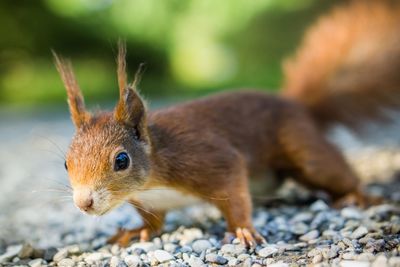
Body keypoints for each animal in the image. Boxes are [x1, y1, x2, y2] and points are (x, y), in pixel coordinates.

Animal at [54, 0, 400, 248]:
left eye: (122, 160)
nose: (84, 203)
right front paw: (136, 231)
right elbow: (155, 223)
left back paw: (358, 196)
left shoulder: (210, 158)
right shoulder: (149, 202)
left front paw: (243, 230)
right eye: (66, 164)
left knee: (331, 169)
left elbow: (234, 195)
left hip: (303, 148)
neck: (153, 181)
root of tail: (296, 105)